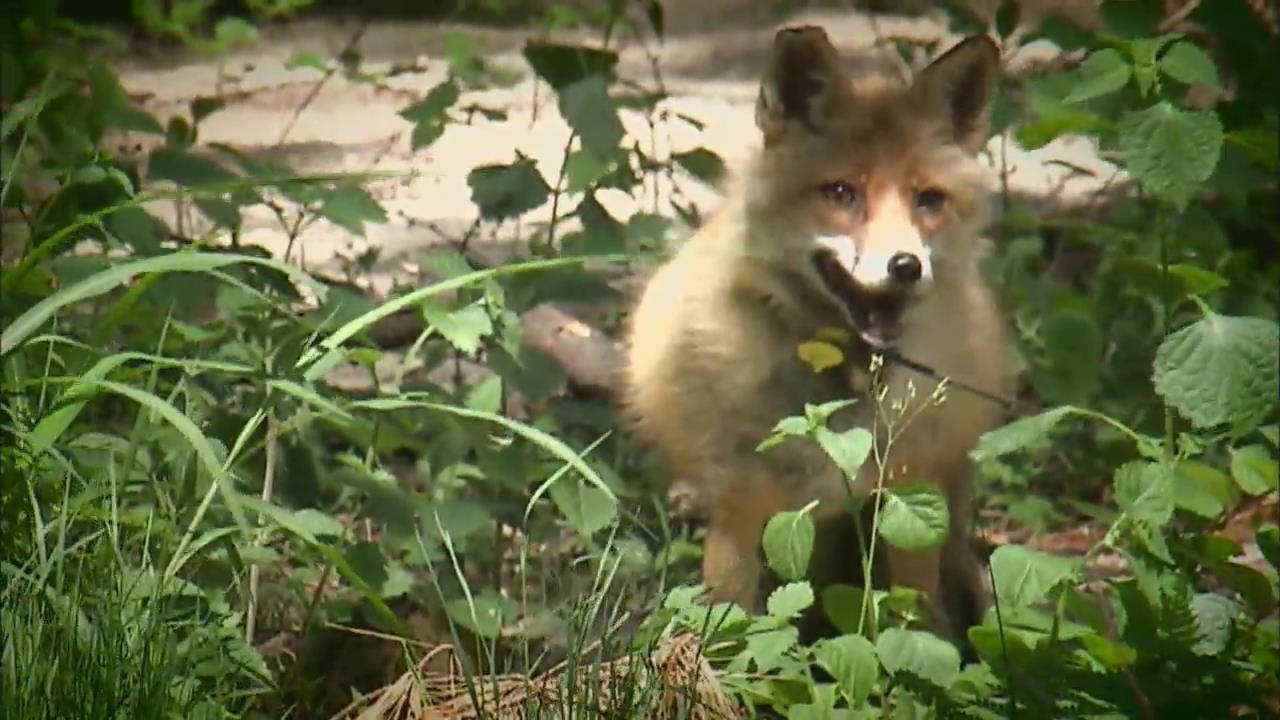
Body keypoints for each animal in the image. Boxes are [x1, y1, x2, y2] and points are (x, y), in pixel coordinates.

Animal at [624, 26, 1013, 645]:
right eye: (841, 193)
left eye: (927, 200)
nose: (906, 266)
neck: (840, 375)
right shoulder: (739, 507)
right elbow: (733, 631)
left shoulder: (909, 499)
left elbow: (914, 624)